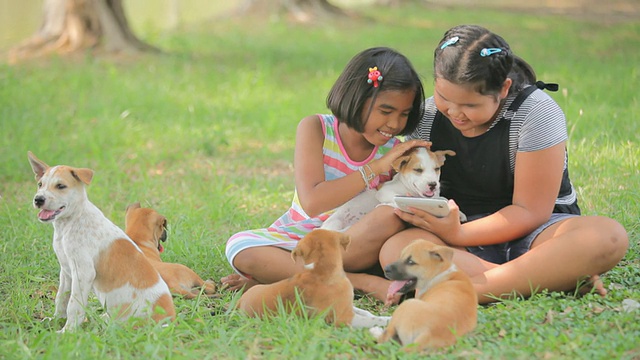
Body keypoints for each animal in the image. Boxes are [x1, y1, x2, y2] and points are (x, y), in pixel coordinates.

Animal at [27, 152, 175, 332]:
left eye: (61, 186)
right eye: (40, 184)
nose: (38, 199)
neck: (70, 223)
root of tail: (170, 321)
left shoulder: (83, 272)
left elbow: (73, 306)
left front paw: (68, 332)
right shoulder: (66, 271)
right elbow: (61, 298)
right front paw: (56, 320)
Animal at [238, 229, 390, 328]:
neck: (319, 271)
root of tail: (239, 302)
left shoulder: (346, 305)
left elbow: (364, 312)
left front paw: (377, 315)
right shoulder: (344, 318)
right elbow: (372, 321)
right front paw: (387, 321)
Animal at [320, 148, 456, 232]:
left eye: (437, 169)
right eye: (418, 170)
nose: (433, 184)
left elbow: (443, 198)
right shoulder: (384, 191)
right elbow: (396, 198)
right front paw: (387, 204)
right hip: (335, 224)